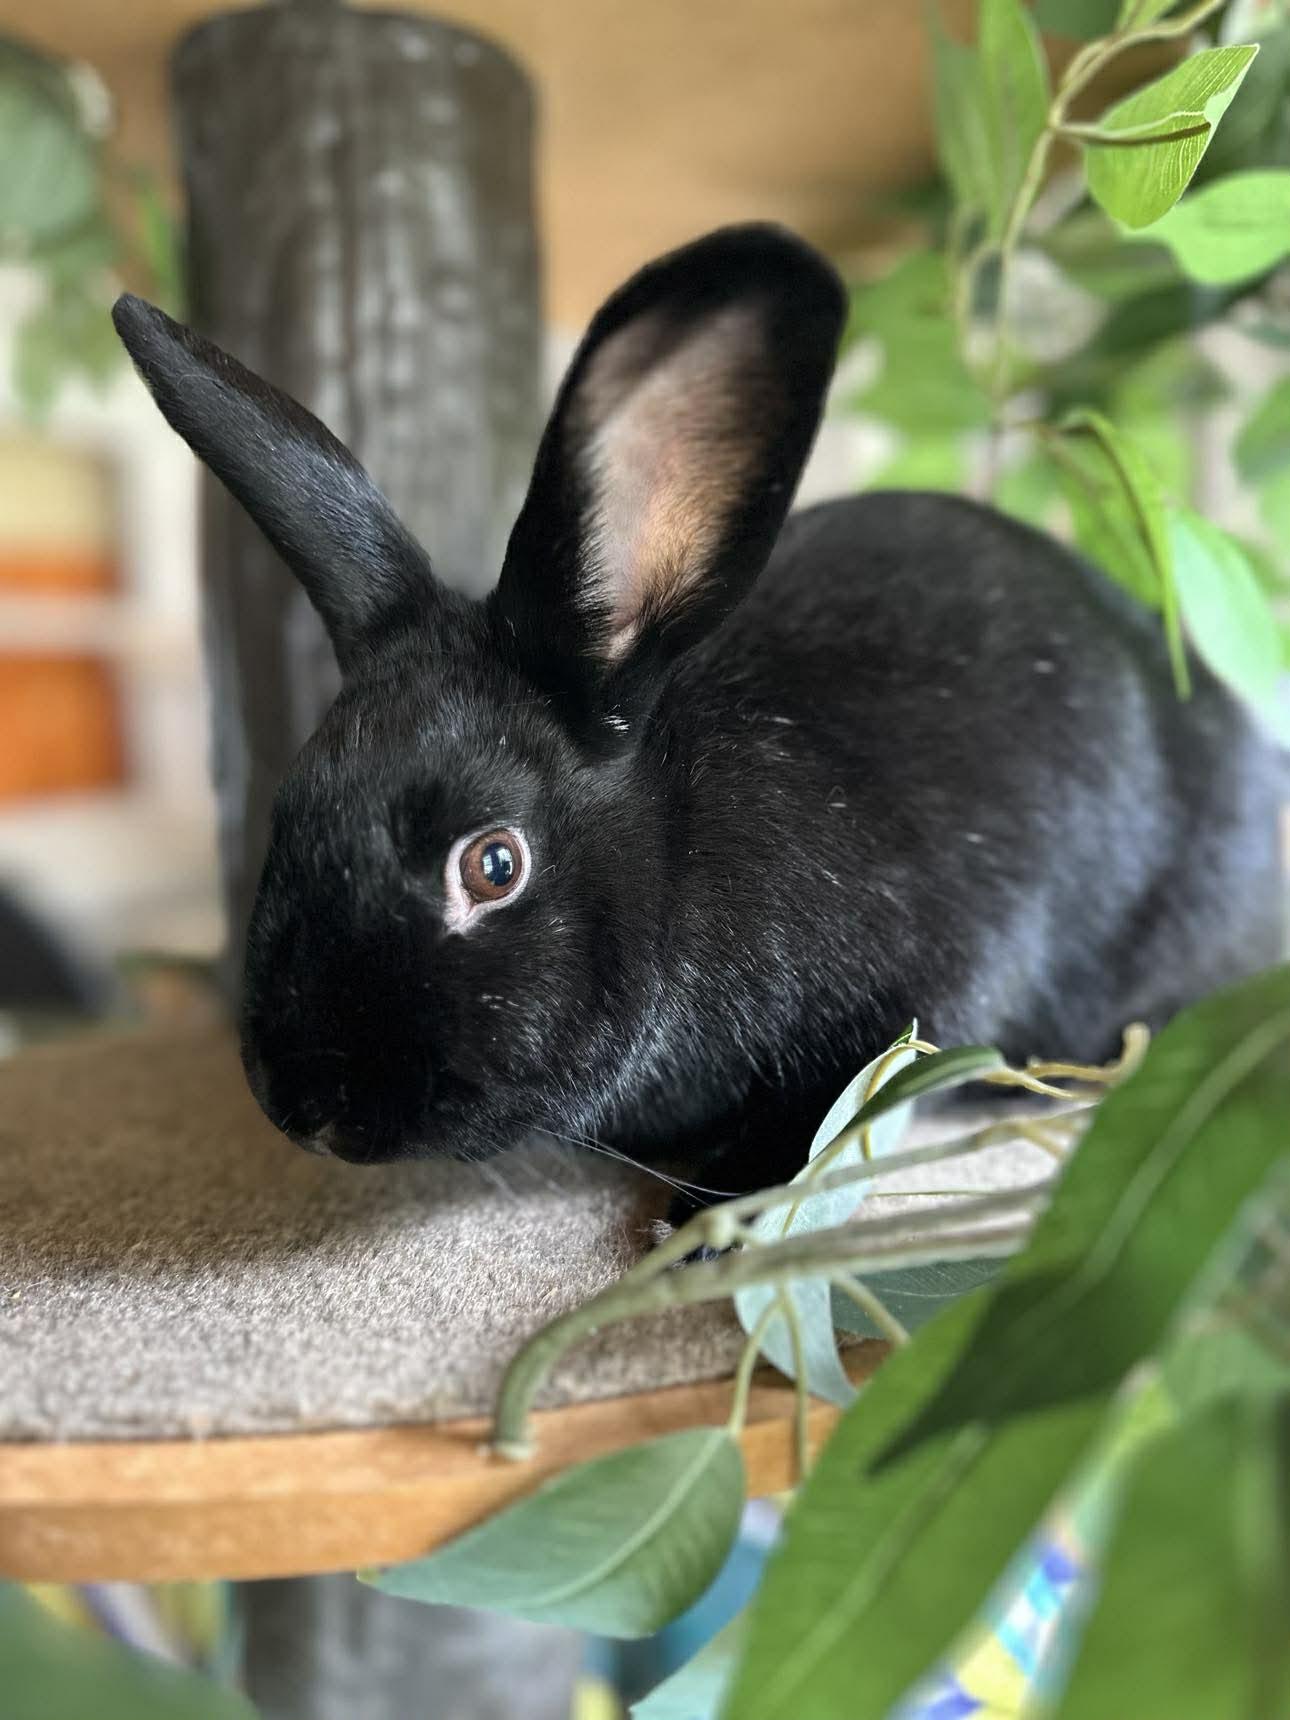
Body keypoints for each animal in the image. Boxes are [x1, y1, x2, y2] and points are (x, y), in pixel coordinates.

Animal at [112, 224, 1287, 1203]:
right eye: (288, 811)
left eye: (493, 865)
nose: (307, 1109)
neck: (685, 843)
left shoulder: (938, 973)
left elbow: (847, 1099)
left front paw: (712, 1211)